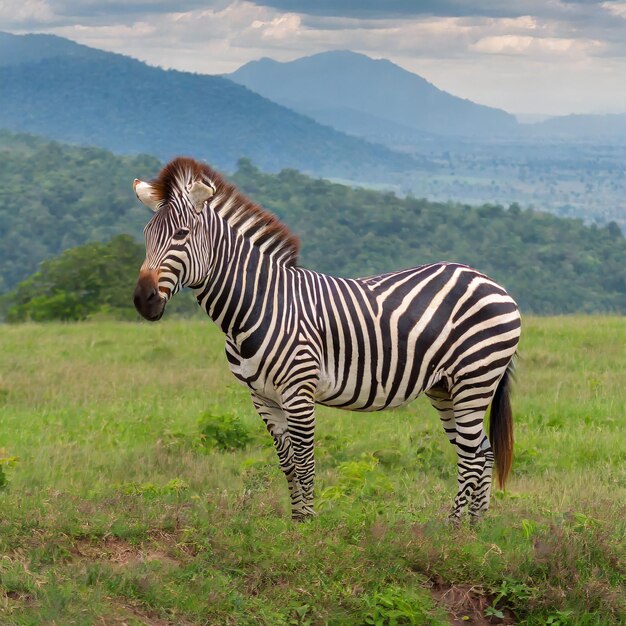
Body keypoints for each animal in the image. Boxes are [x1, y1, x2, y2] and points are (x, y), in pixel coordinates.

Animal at [134, 156, 520, 520]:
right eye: (146, 235)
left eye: (182, 234)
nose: (142, 300)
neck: (260, 303)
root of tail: (489, 281)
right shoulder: (261, 397)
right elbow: (288, 463)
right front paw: (295, 521)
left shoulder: (298, 390)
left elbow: (305, 462)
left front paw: (308, 525)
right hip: (446, 387)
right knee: (483, 452)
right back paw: (474, 527)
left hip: (475, 379)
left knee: (472, 457)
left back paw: (451, 527)